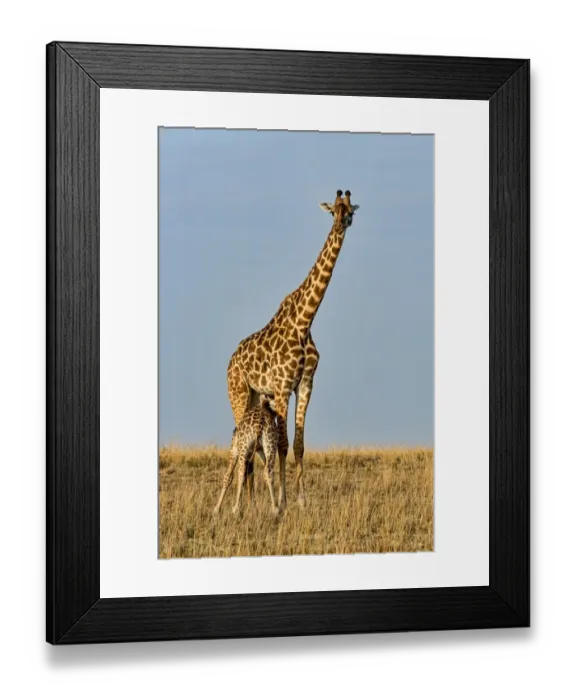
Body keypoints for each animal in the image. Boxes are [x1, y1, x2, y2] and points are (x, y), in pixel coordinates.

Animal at [227, 189, 360, 510]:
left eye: (350, 210)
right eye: (333, 210)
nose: (341, 223)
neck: (305, 320)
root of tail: (230, 360)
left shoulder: (305, 384)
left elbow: (298, 445)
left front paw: (301, 500)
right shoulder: (283, 387)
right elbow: (283, 444)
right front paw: (283, 501)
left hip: (256, 396)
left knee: (249, 445)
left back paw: (251, 503)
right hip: (238, 394)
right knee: (239, 440)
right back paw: (244, 503)